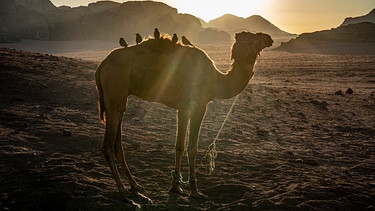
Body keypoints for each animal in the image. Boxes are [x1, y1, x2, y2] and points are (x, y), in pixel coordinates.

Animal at [94, 30, 274, 201]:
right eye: (254, 35)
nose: (269, 38)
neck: (216, 80)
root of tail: (102, 66)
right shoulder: (198, 106)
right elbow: (192, 148)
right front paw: (195, 191)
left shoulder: (183, 108)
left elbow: (179, 146)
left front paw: (176, 187)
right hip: (115, 85)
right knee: (107, 145)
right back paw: (122, 190)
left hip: (119, 98)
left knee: (118, 142)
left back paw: (135, 185)